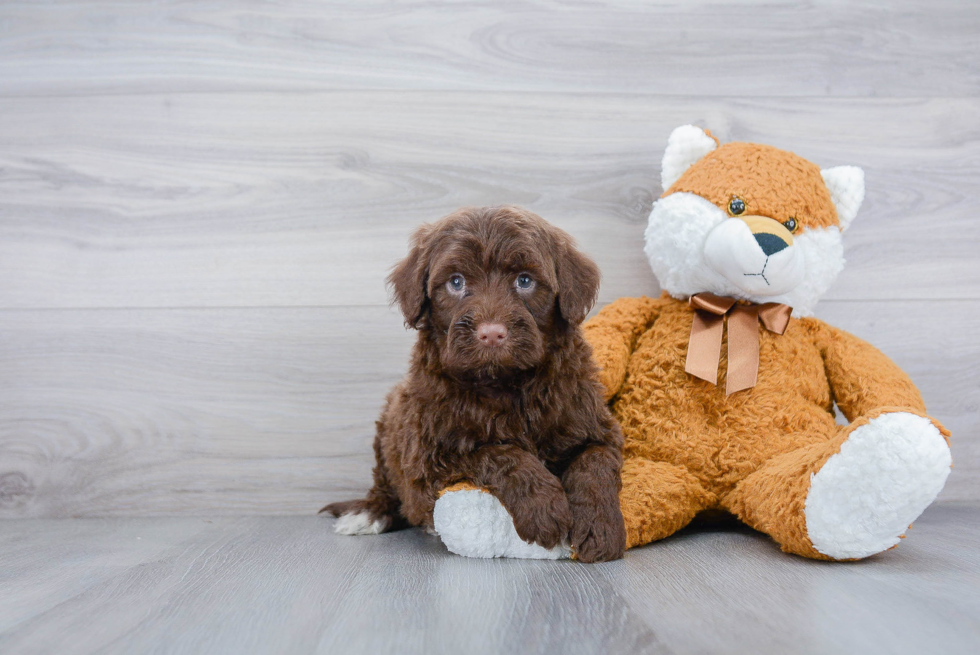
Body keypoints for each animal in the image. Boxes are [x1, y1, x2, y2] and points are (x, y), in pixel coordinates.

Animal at [324, 206, 628, 564]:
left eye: (524, 280)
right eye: (456, 282)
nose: (492, 333)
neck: (505, 382)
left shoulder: (595, 423)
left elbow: (595, 462)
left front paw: (600, 528)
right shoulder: (429, 454)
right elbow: (497, 452)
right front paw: (545, 509)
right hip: (389, 427)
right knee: (385, 485)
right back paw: (369, 513)